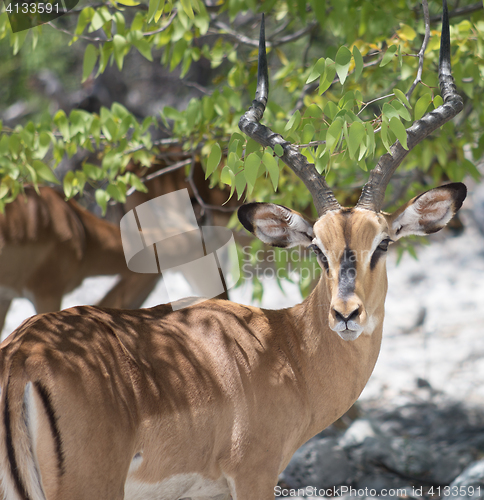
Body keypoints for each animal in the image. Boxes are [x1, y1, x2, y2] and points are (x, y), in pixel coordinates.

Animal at [0, 1, 466, 498]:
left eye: (383, 243)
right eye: (317, 248)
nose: (346, 314)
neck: (284, 349)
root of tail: (22, 357)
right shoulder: (253, 475)